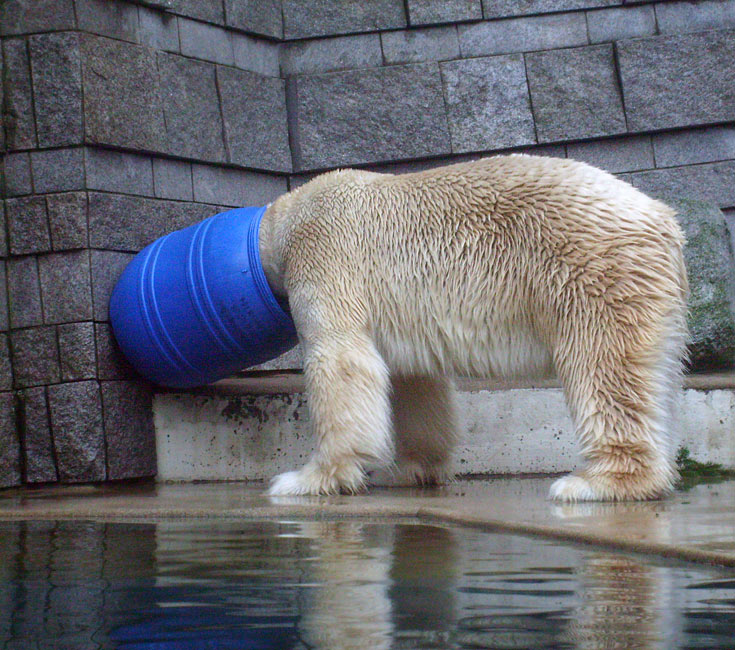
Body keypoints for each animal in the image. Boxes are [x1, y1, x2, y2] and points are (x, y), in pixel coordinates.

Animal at [260, 154, 688, 498]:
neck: (284, 216)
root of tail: (662, 219)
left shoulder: (324, 252)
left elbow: (341, 359)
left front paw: (306, 479)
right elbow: (416, 383)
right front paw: (412, 470)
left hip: (591, 271)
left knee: (602, 367)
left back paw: (597, 483)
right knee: (652, 373)